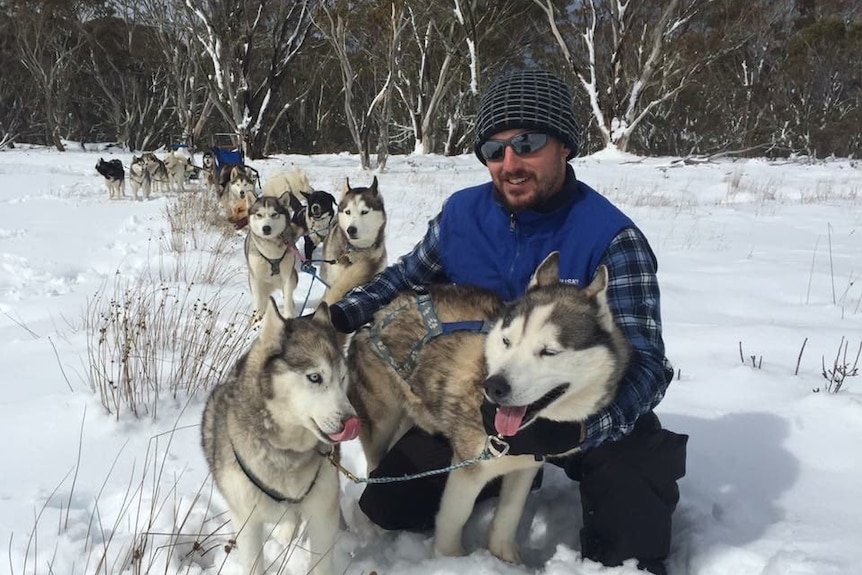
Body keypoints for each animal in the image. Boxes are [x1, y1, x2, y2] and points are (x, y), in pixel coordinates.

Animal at [202, 300, 362, 575]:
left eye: (342, 378)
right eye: (315, 377)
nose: (352, 423)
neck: (287, 452)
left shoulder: (322, 516)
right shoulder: (247, 522)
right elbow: (254, 564)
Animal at [246, 192, 300, 320]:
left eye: (274, 214)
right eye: (259, 215)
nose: (266, 228)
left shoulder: (288, 275)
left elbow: (288, 297)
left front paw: (288, 316)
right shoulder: (255, 277)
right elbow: (257, 300)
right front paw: (256, 319)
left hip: (294, 277)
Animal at [348, 254, 632, 564]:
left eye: (549, 352)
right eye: (507, 341)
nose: (494, 386)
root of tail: (383, 312)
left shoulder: (527, 463)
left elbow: (510, 512)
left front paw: (503, 554)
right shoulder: (469, 465)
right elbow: (455, 516)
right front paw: (451, 559)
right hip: (381, 420)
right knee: (375, 463)